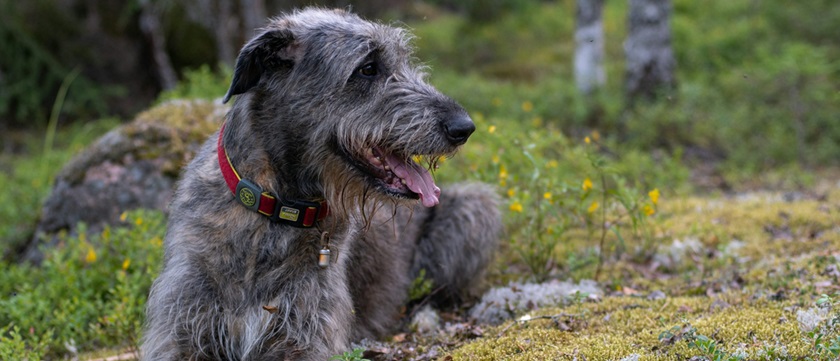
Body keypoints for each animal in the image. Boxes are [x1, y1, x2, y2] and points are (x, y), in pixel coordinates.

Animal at [141, 8, 502, 360]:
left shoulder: (309, 330)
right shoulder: (183, 319)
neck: (276, 209)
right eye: (368, 68)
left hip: (474, 208)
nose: (464, 127)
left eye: (404, 61)